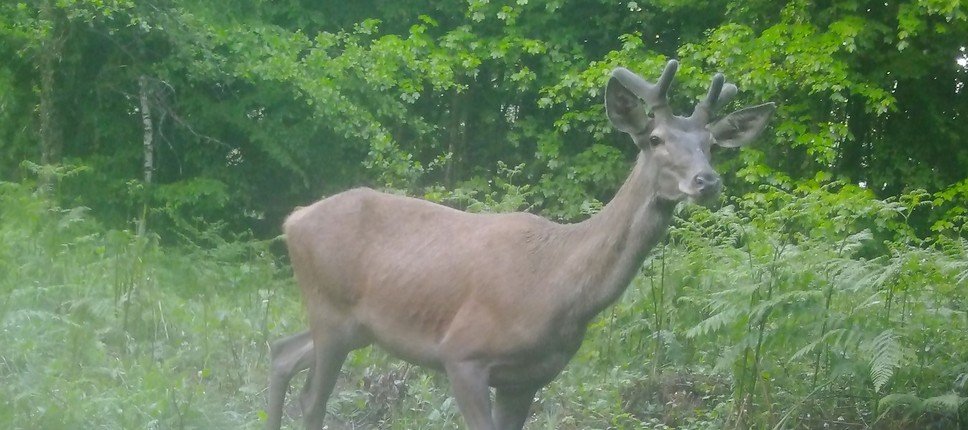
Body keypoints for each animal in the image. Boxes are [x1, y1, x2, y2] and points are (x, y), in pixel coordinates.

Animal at [262, 60, 772, 430]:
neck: (559, 286)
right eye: (656, 138)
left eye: (711, 143)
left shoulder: (528, 378)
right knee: (312, 399)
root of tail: (293, 220)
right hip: (330, 309)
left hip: (353, 325)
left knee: (282, 352)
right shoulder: (462, 353)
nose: (706, 181)